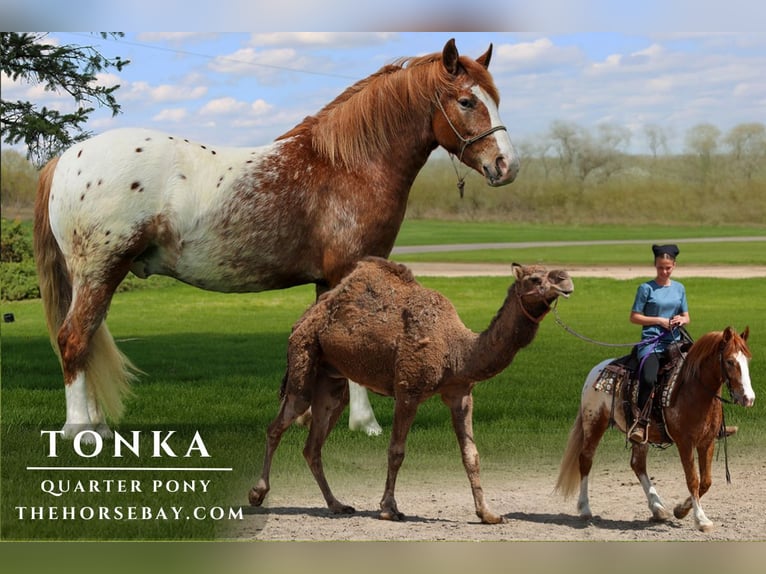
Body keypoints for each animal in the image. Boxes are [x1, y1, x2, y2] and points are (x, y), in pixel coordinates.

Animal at [33, 38, 519, 441]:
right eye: (466, 101)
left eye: (497, 100)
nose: (507, 166)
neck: (347, 166)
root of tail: (67, 158)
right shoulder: (349, 270)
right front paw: (365, 424)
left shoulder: (326, 281)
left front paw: (308, 416)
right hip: (100, 272)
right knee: (74, 340)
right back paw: (80, 431)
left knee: (87, 341)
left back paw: (95, 424)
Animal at [555, 327, 754, 532]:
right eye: (730, 361)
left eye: (747, 360)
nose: (748, 398)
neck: (694, 391)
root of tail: (598, 369)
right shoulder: (685, 443)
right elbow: (693, 479)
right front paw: (701, 520)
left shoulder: (707, 442)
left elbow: (706, 482)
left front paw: (680, 510)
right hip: (594, 422)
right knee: (586, 459)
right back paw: (585, 508)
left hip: (639, 436)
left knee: (638, 464)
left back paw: (658, 508)